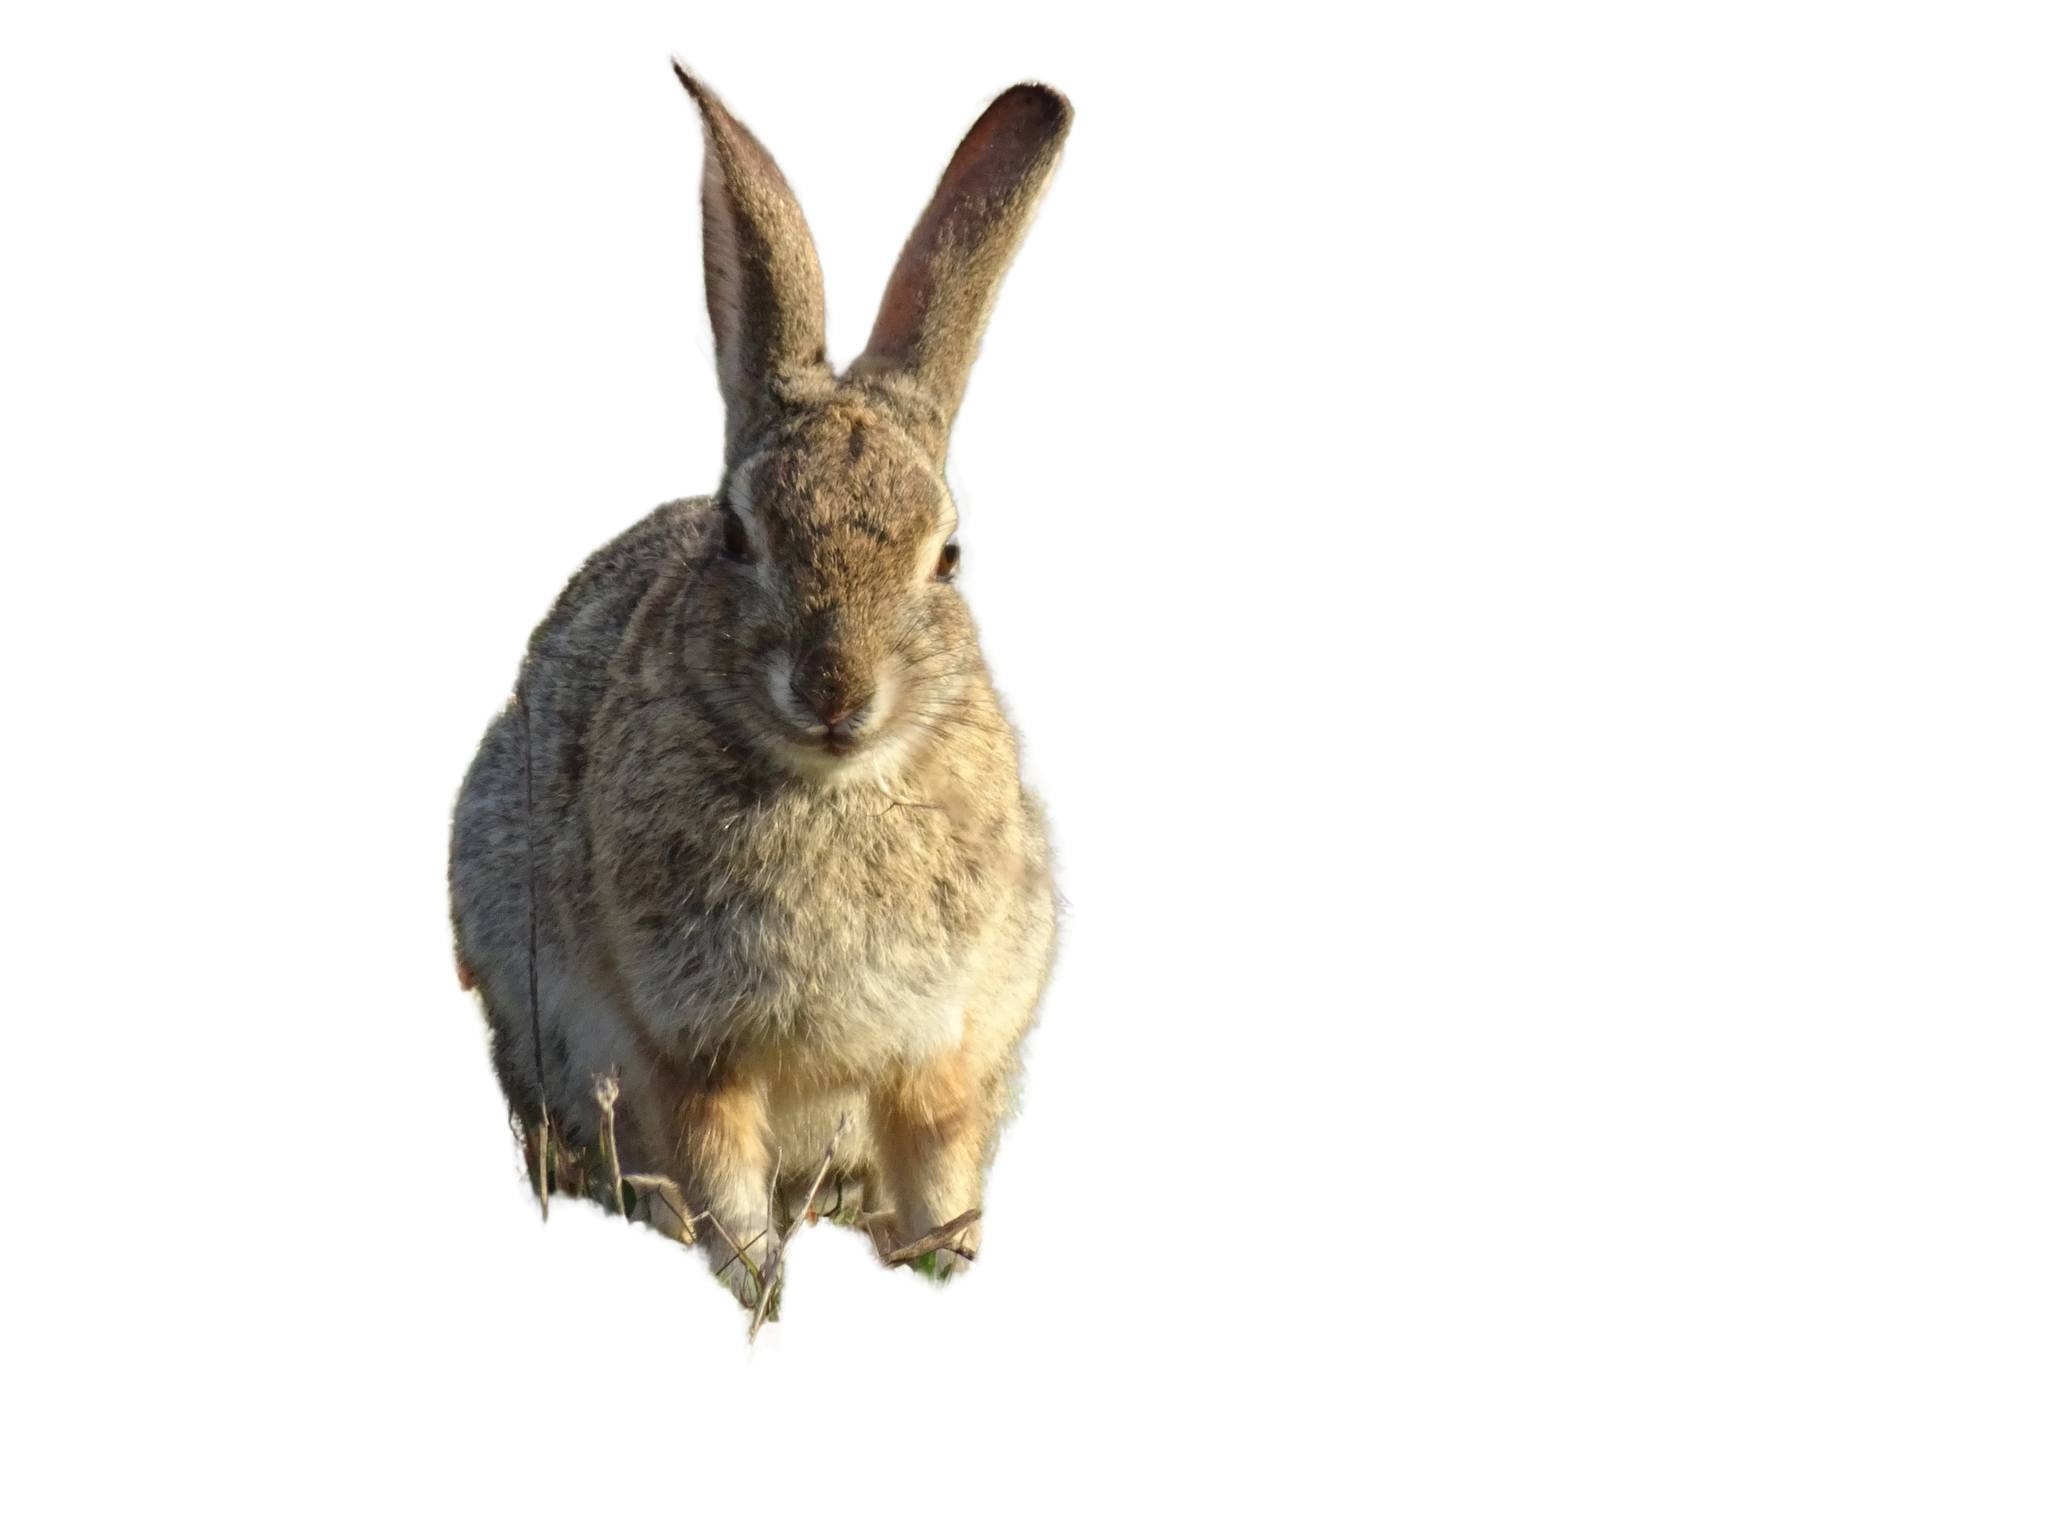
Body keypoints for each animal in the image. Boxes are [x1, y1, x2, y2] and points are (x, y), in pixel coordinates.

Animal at [448, 65, 1069, 1308]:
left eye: (948, 557)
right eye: (738, 537)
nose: (835, 691)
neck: (830, 787)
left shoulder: (941, 1049)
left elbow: (938, 1159)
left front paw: (944, 1271)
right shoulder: (691, 1047)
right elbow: (719, 1172)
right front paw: (757, 1292)